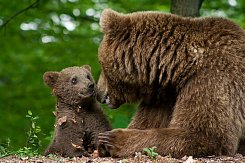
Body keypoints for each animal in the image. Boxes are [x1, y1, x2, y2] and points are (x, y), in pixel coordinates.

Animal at [96, 8, 244, 158]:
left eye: (101, 65)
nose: (98, 94)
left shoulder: (213, 77)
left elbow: (206, 134)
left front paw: (112, 139)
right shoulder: (165, 96)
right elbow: (147, 122)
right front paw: (102, 143)